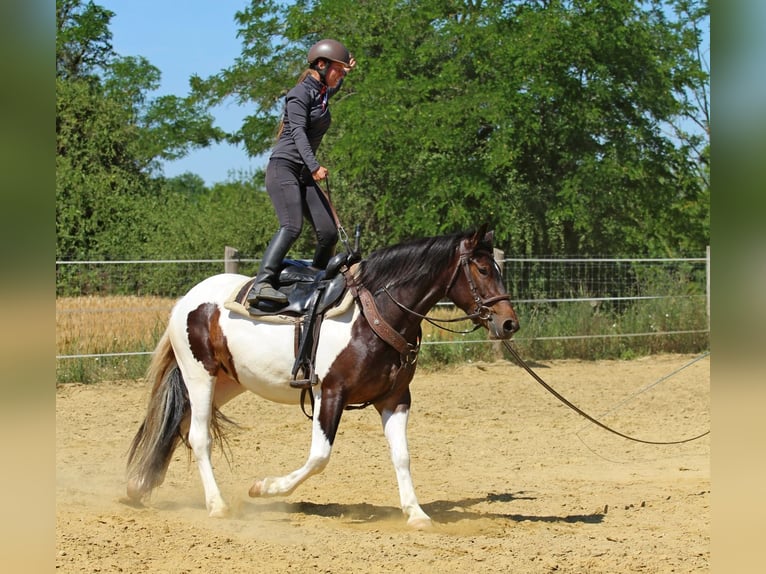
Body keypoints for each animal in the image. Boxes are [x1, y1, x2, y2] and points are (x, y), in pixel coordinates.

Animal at [126, 226, 519, 528]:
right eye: (483, 270)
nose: (509, 323)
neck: (373, 314)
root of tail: (187, 300)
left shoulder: (395, 399)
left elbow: (402, 456)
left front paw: (416, 513)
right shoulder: (329, 393)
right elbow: (319, 457)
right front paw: (264, 488)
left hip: (227, 382)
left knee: (177, 425)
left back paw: (140, 486)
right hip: (200, 376)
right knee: (199, 436)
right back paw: (217, 505)